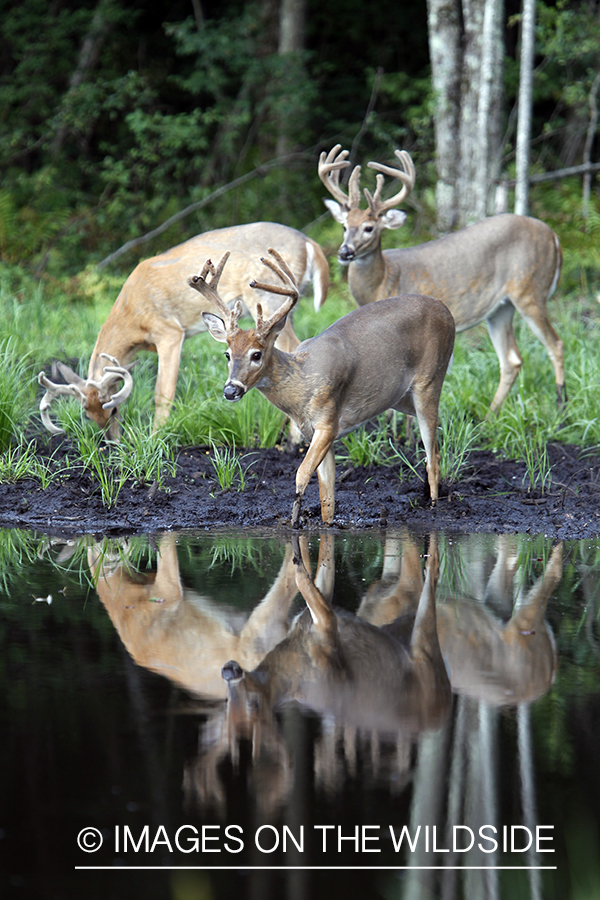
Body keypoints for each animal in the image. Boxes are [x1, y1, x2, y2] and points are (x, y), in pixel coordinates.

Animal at [37, 221, 328, 440]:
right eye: (88, 415)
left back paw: (294, 439)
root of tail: (309, 242)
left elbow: (162, 392)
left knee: (292, 345)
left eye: (114, 410)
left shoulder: (169, 331)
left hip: (270, 299)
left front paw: (156, 435)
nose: (112, 443)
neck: (132, 316)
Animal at [190, 248, 452, 528]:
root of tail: (446, 311)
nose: (231, 390)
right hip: (402, 399)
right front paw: (324, 524)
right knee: (433, 449)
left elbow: (302, 473)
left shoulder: (328, 421)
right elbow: (327, 494)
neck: (301, 386)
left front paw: (295, 521)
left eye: (256, 354)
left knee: (433, 455)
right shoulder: (312, 430)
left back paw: (433, 507)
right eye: (227, 354)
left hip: (430, 380)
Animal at [322, 146, 564, 414]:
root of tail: (553, 236)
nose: (345, 252)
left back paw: (560, 407)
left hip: (530, 289)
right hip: (501, 308)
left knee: (556, 344)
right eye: (344, 226)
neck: (384, 281)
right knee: (512, 359)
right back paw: (490, 415)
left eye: (369, 228)